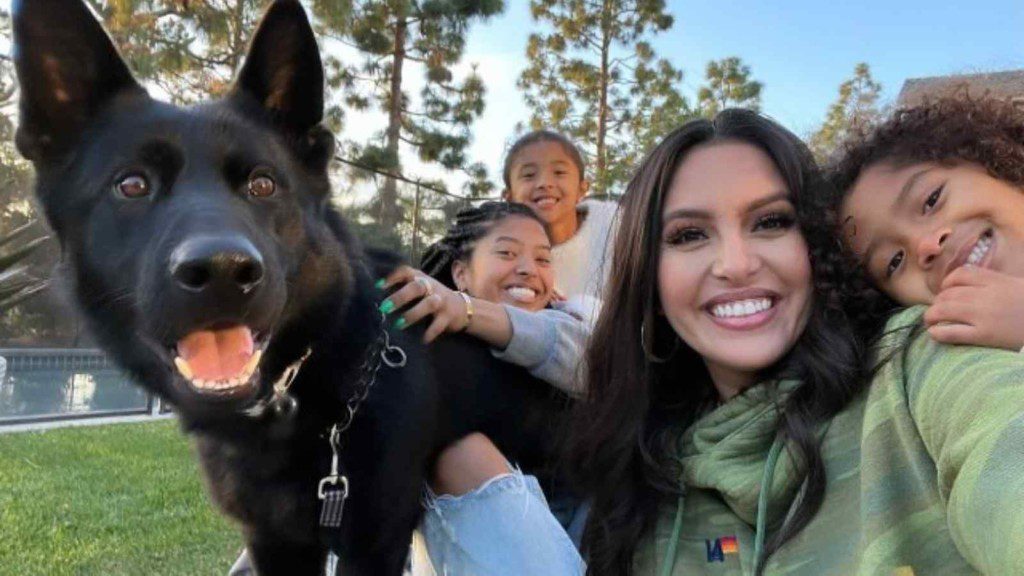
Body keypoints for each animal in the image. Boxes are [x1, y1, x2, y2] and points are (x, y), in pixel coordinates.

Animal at [12, 1, 569, 569]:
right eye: (131, 185)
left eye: (263, 183)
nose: (222, 271)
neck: (296, 395)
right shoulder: (273, 538)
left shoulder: (375, 540)